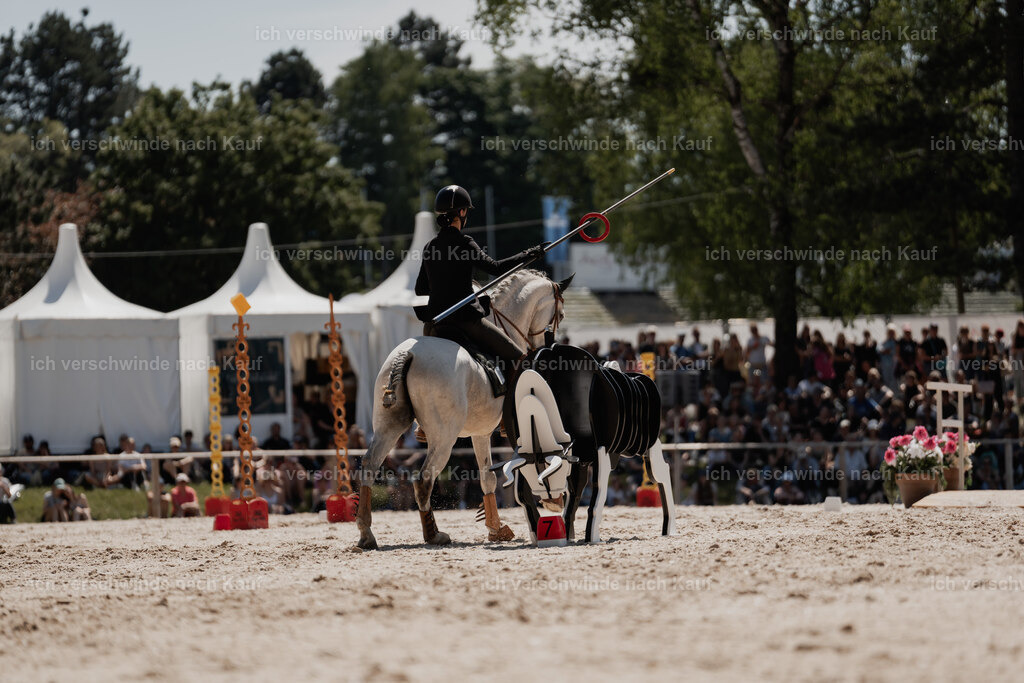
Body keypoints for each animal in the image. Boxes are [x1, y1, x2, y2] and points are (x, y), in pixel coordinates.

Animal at [354, 269, 572, 550]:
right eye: (560, 315)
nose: (541, 347)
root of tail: (408, 355)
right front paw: (550, 499)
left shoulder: (480, 433)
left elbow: (487, 477)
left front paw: (495, 528)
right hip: (443, 438)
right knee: (424, 479)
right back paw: (433, 535)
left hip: (388, 427)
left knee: (369, 466)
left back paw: (366, 533)